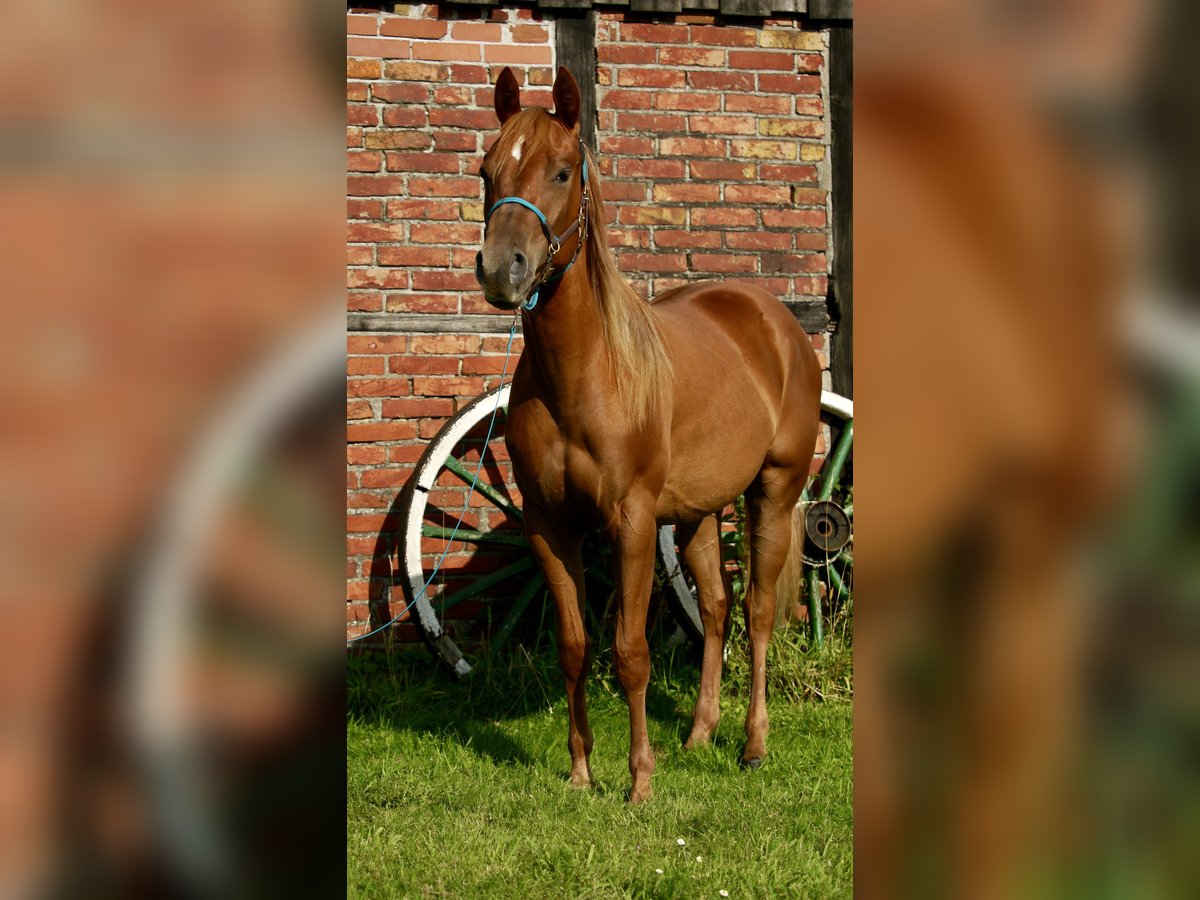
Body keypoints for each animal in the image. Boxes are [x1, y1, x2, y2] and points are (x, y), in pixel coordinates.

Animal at [472, 66, 820, 806]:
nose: (500, 268)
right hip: (694, 515)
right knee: (716, 608)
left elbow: (631, 653)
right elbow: (575, 647)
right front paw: (580, 771)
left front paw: (638, 781)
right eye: (487, 171)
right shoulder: (551, 526)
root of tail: (774, 320)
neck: (583, 373)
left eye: (563, 171)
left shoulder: (630, 522)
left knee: (757, 611)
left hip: (772, 494)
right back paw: (698, 733)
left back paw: (752, 745)